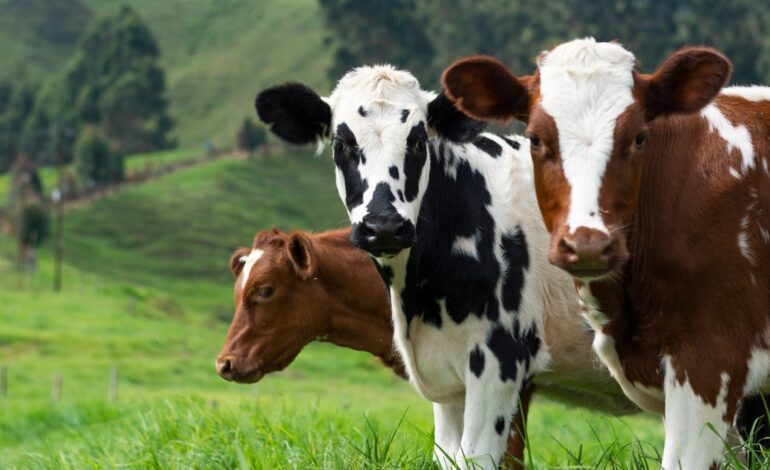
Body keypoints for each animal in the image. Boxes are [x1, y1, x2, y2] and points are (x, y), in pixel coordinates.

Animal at [253, 64, 617, 468]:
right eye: (341, 145)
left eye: (417, 142)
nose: (383, 226)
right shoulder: (448, 382)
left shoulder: (502, 361)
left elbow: (476, 458)